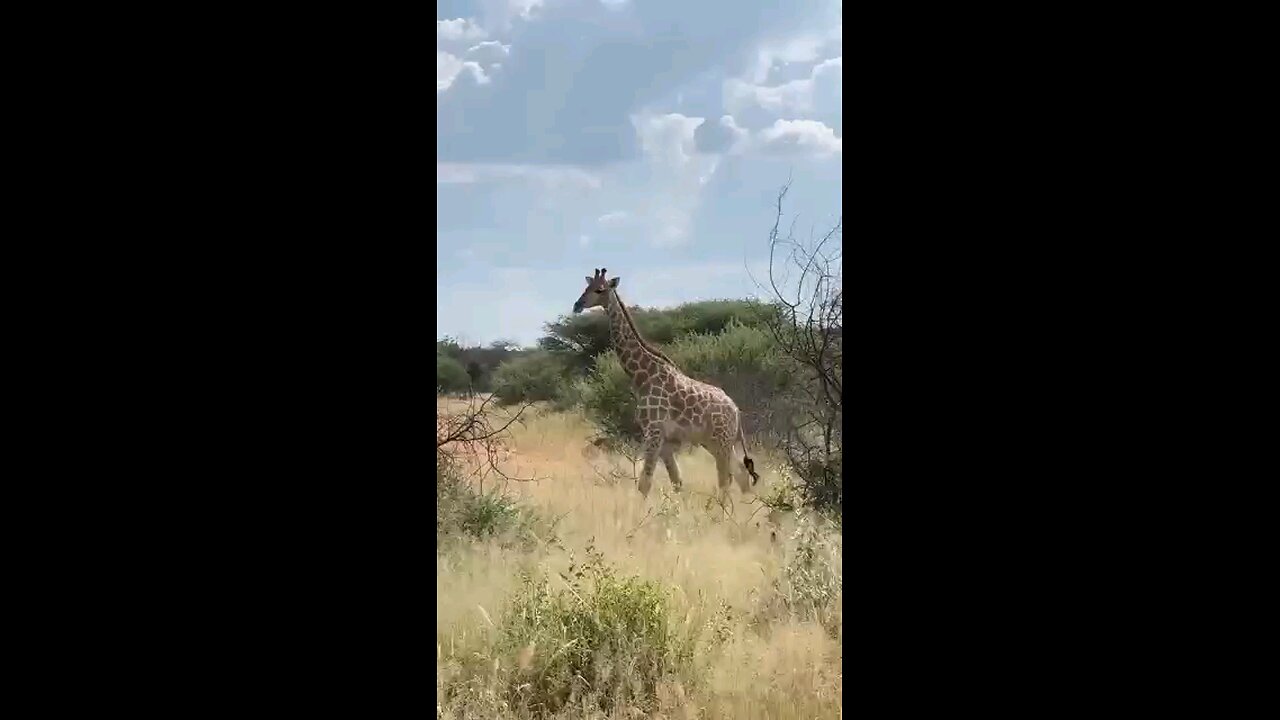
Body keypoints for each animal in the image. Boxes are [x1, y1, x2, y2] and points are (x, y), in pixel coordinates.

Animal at [573, 266, 757, 497]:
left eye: (600, 289)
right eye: (586, 287)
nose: (577, 305)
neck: (642, 376)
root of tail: (736, 410)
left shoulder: (654, 432)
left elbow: (645, 483)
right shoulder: (665, 440)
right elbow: (676, 481)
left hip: (722, 440)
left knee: (726, 478)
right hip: (714, 441)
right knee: (739, 474)